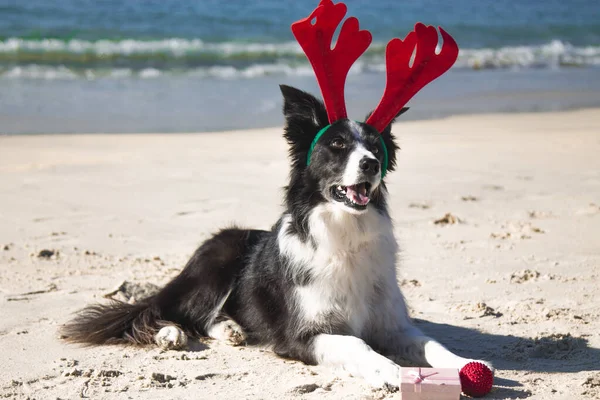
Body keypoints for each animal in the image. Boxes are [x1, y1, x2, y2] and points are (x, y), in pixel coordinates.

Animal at [61, 85, 492, 390]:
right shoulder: (300, 334)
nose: (371, 164)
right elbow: (355, 343)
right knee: (167, 310)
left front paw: (468, 366)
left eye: (375, 147)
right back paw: (170, 333)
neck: (344, 235)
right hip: (216, 265)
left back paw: (232, 329)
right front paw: (386, 369)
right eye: (337, 145)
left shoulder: (394, 326)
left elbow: (431, 344)